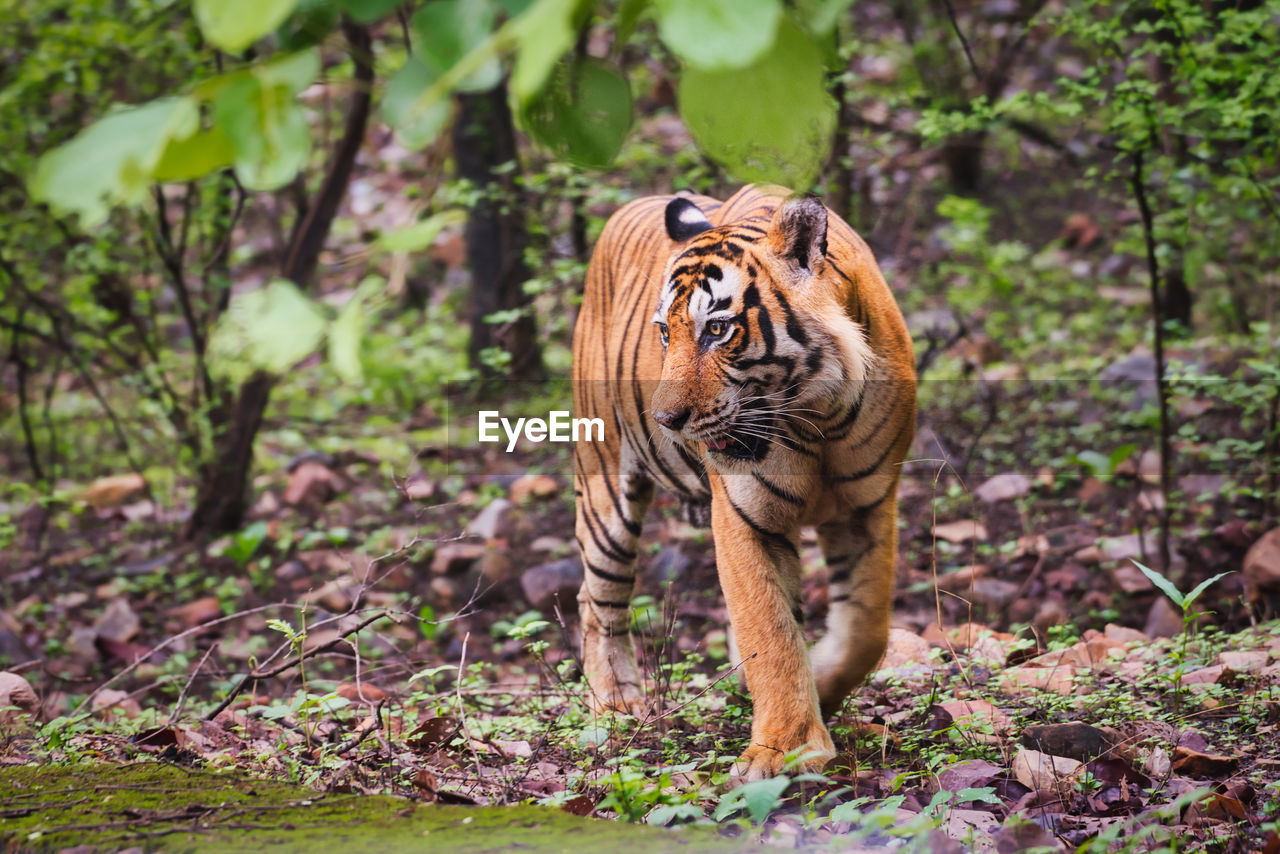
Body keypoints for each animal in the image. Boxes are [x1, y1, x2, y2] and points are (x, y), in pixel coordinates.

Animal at [573, 184, 921, 778]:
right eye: (665, 332)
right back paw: (616, 704)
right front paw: (784, 750)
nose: (666, 420)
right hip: (604, 487)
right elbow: (770, 629)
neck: (819, 415)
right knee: (598, 599)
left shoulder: (868, 506)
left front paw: (820, 686)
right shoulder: (743, 516)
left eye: (717, 329)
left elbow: (865, 630)